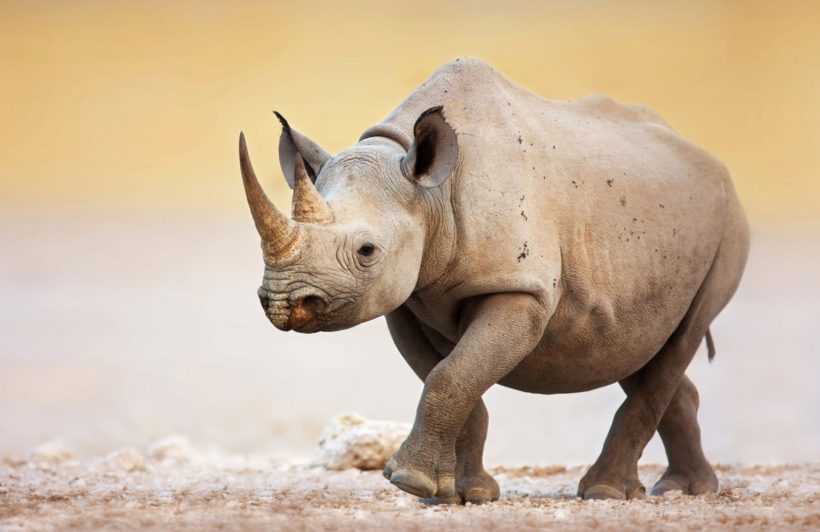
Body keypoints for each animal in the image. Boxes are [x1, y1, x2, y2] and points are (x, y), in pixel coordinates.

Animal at [238, 58, 749, 504]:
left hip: (727, 226)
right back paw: (684, 489)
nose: (284, 302)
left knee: (681, 337)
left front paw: (408, 482)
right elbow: (453, 377)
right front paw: (458, 494)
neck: (430, 194)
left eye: (367, 251)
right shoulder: (407, 298)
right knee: (637, 346)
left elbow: (452, 375)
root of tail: (710, 160)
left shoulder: (521, 288)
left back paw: (607, 492)